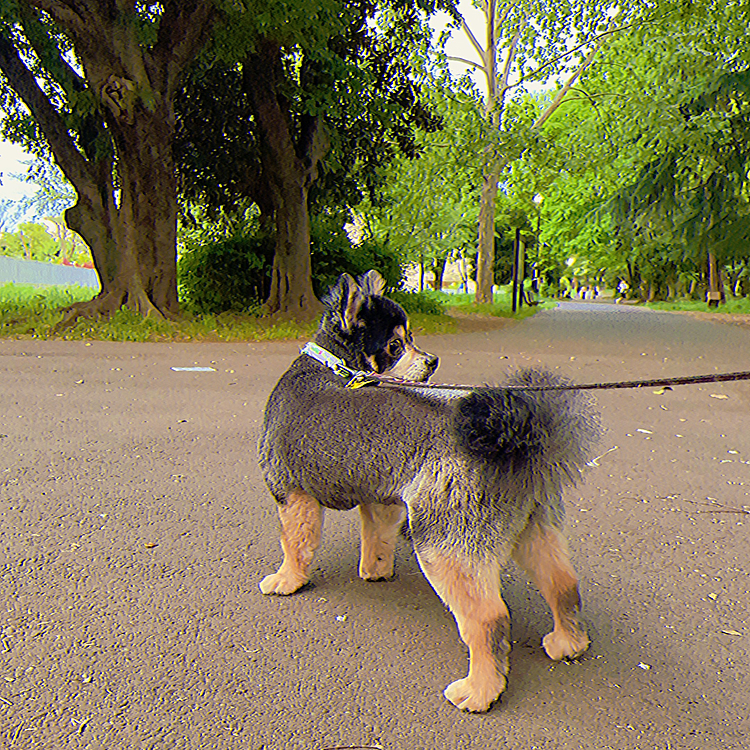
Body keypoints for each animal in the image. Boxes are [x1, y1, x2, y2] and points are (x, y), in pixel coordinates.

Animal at [262, 272, 604, 716]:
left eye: (407, 340)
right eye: (396, 345)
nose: (433, 361)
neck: (334, 367)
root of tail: (514, 437)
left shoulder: (291, 493)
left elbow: (295, 545)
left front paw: (287, 581)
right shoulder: (381, 498)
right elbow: (376, 539)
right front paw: (374, 571)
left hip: (443, 545)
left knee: (489, 619)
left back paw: (479, 691)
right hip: (533, 527)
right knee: (563, 584)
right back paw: (568, 643)